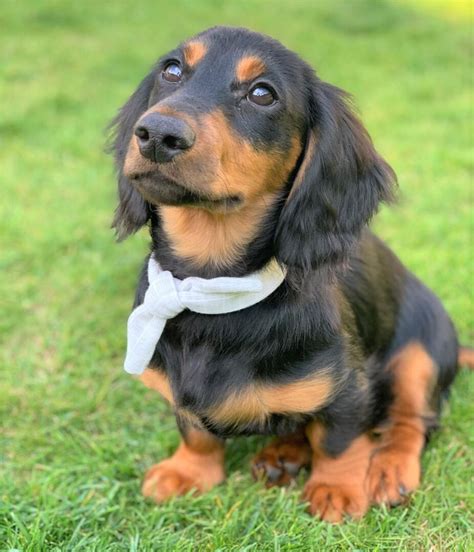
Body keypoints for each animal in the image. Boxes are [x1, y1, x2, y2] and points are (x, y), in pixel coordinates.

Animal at [108, 25, 474, 520]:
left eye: (263, 93)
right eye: (172, 70)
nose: (157, 133)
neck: (211, 288)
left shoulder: (350, 387)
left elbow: (338, 438)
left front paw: (336, 488)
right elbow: (196, 431)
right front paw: (187, 471)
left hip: (422, 350)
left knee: (411, 421)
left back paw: (387, 468)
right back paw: (283, 453)